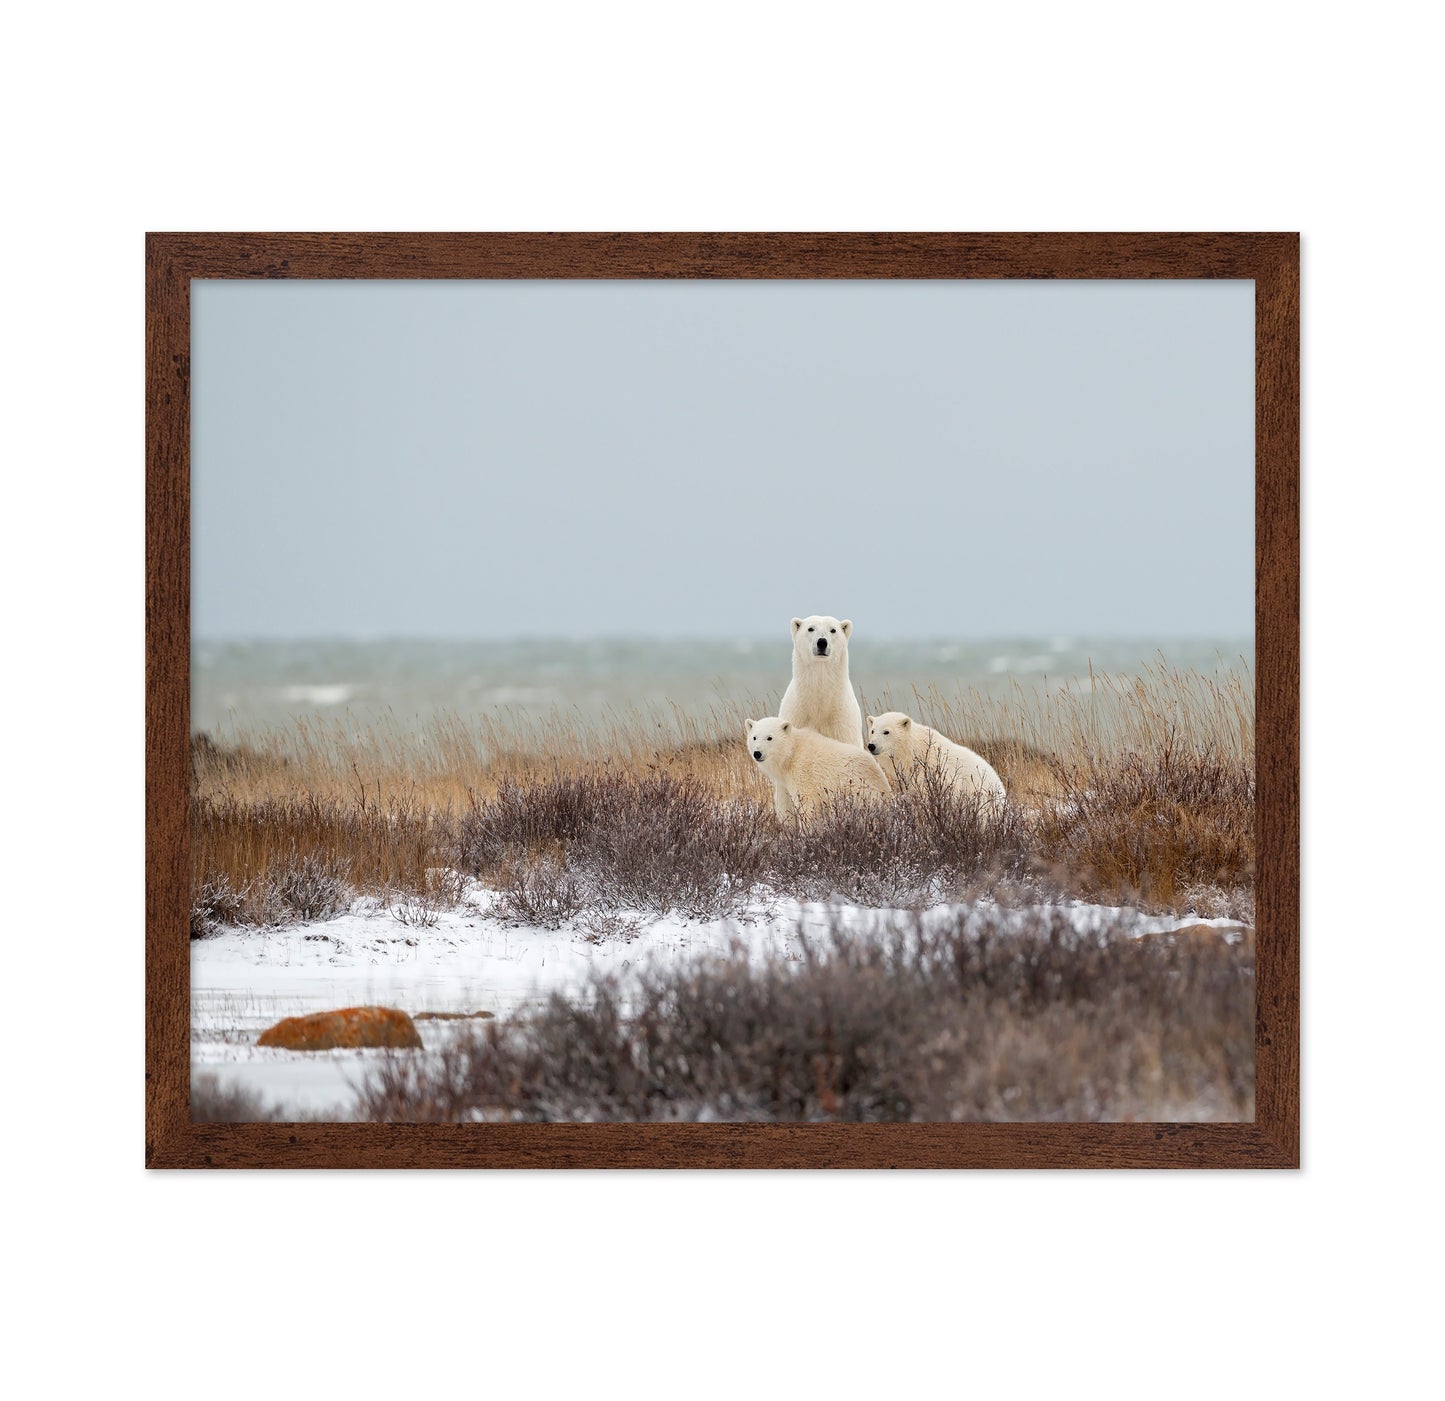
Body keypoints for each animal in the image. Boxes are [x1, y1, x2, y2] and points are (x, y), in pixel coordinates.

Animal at [746, 715, 892, 822]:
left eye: (769, 738)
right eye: (754, 737)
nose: (757, 753)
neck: (792, 753)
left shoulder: (804, 774)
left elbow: (808, 805)